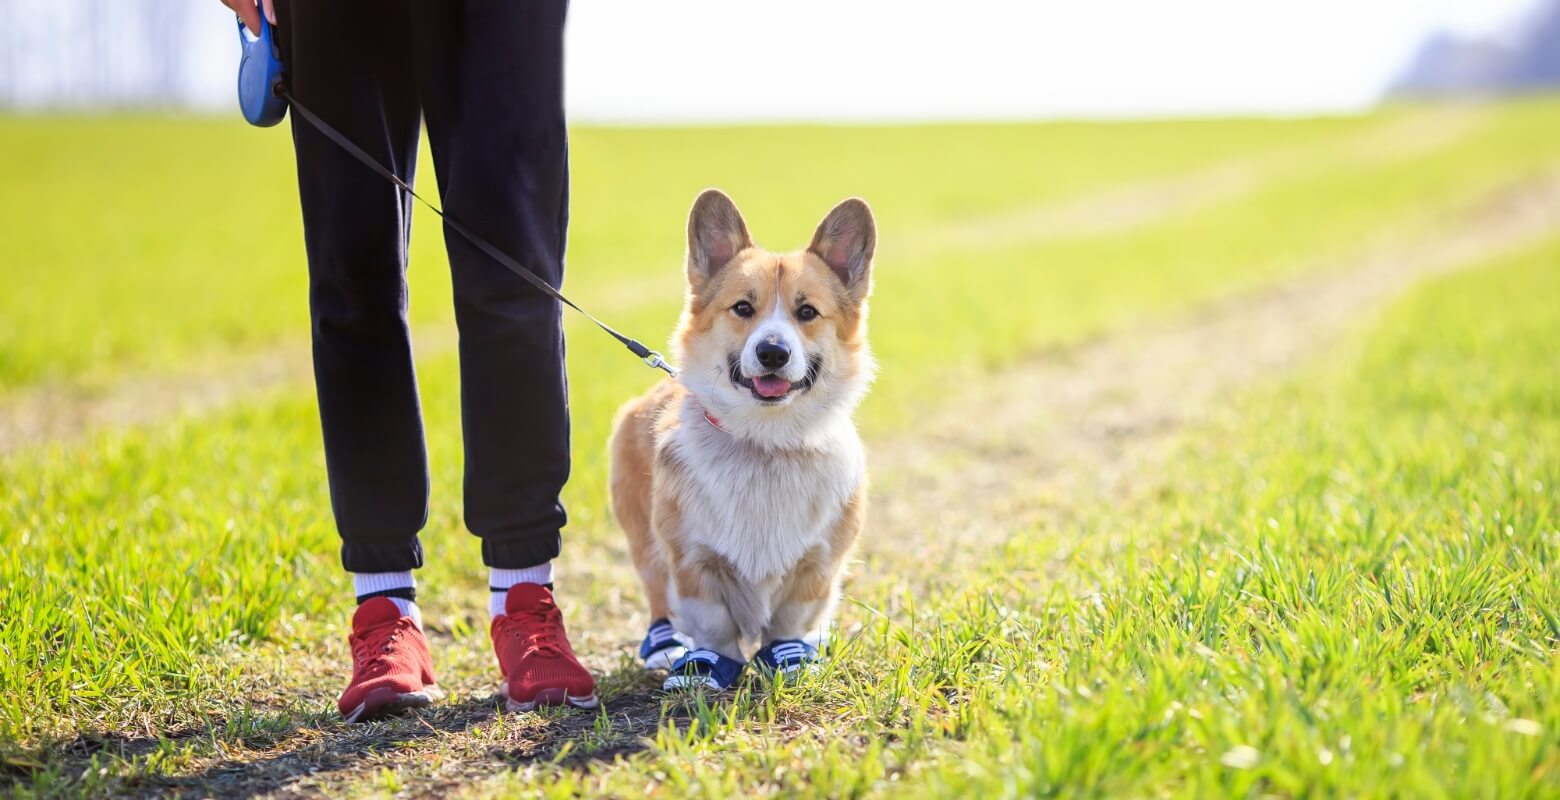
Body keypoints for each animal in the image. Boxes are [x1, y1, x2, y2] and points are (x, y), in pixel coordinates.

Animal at [608, 190, 879, 689]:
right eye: (742, 308)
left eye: (807, 312)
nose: (772, 352)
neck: (765, 442)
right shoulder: (694, 562)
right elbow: (712, 623)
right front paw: (708, 666)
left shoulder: (817, 565)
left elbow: (791, 619)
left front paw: (791, 657)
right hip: (643, 542)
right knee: (656, 593)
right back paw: (665, 646)